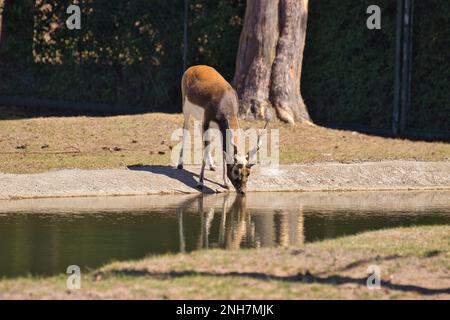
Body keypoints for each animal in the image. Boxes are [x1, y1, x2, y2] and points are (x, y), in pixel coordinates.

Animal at [178, 65, 266, 195]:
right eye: (236, 171)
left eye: (248, 173)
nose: (242, 191)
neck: (224, 100)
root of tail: (195, 67)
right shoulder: (207, 122)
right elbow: (206, 150)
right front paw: (200, 183)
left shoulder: (221, 129)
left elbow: (224, 154)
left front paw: (225, 183)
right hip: (187, 112)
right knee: (186, 131)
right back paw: (180, 164)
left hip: (204, 122)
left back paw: (212, 166)